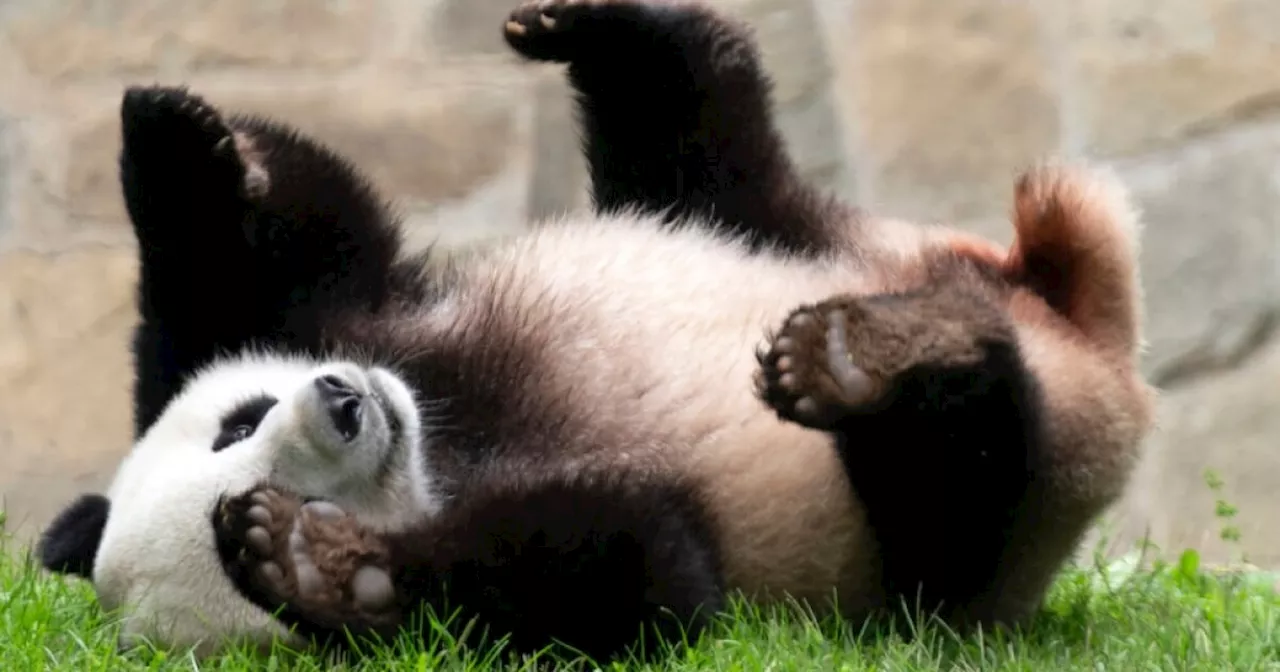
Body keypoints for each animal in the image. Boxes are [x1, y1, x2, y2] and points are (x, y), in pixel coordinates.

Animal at [37, 0, 1162, 660]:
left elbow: (296, 247)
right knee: (962, 487)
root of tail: (1083, 332)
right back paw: (877, 364)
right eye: (256, 477)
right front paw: (319, 566)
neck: (447, 438)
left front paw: (176, 137)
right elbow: (641, 577)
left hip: (788, 229)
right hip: (965, 544)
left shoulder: (356, 316)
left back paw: (603, 31)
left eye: (240, 421)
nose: (345, 404)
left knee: (703, 142)